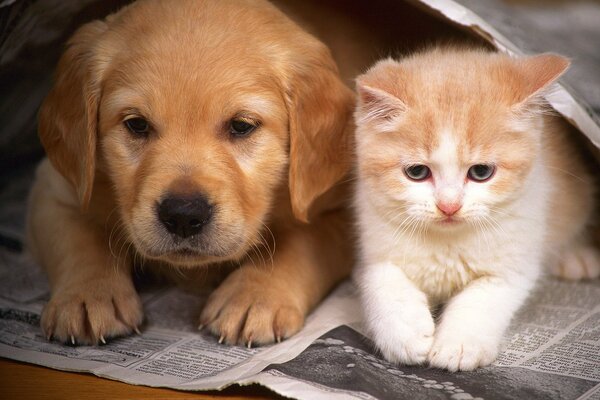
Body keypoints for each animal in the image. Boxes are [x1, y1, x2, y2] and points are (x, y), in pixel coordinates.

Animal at [28, 0, 354, 346]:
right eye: (137, 124)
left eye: (241, 126)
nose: (183, 215)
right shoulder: (54, 189)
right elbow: (78, 239)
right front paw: (88, 296)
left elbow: (303, 241)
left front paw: (255, 296)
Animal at [354, 47, 596, 372]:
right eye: (417, 172)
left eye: (481, 172)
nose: (449, 205)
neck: (447, 242)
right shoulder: (371, 231)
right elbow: (379, 276)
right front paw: (402, 332)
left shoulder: (515, 260)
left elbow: (483, 297)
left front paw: (458, 344)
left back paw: (576, 257)